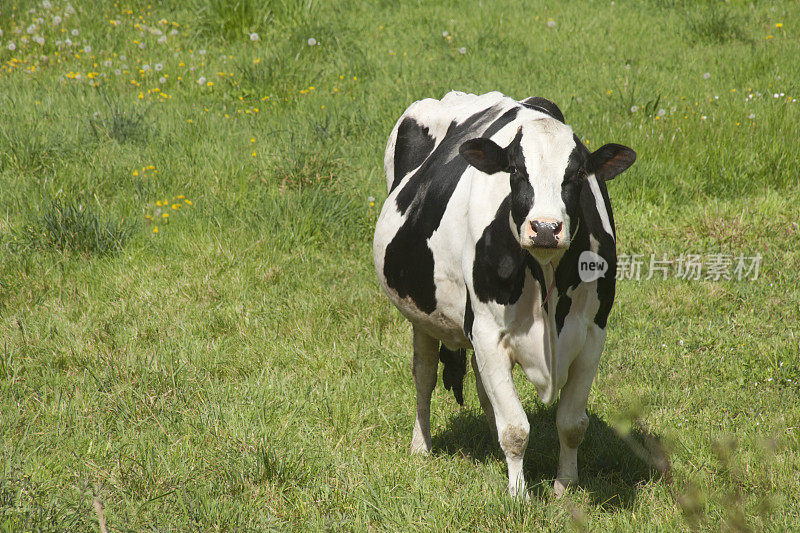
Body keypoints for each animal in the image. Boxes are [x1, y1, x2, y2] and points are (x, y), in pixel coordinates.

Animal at [372, 90, 636, 494]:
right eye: (515, 172)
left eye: (577, 174)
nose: (545, 228)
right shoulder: (487, 331)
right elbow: (515, 429)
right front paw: (518, 495)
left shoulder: (593, 332)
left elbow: (571, 423)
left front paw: (565, 487)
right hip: (422, 314)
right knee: (424, 375)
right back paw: (421, 446)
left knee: (483, 390)